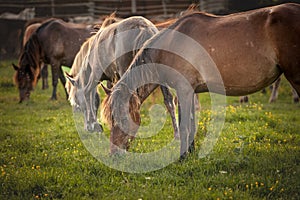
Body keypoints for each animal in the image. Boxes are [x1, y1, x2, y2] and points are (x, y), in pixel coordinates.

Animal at [101, 3, 300, 158]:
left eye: (120, 117)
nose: (113, 154)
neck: (172, 42)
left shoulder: (183, 90)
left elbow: (184, 126)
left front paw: (182, 157)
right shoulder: (190, 90)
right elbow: (191, 124)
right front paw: (190, 153)